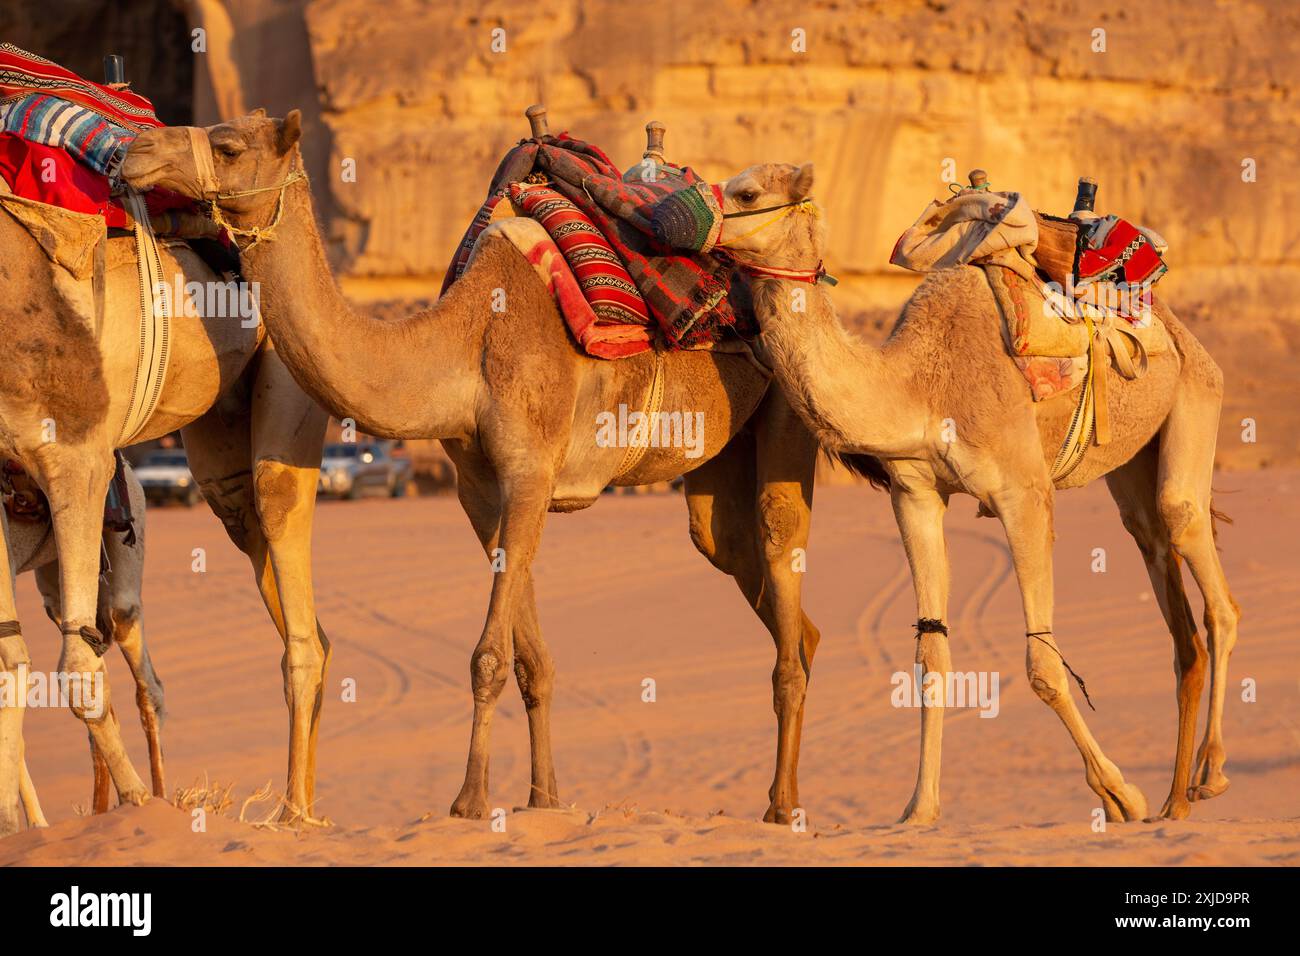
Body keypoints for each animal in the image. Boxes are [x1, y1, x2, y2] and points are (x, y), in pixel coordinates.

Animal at [119, 108, 883, 827]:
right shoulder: (485, 492)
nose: (136, 152)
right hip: (715, 472)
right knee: (762, 587)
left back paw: (782, 806)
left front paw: (468, 801)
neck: (465, 342)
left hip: (789, 402)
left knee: (782, 565)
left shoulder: (530, 471)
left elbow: (487, 657)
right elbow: (530, 660)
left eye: (227, 146)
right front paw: (544, 799)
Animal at [681, 162, 1237, 822]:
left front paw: (1120, 793)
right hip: (1130, 462)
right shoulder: (914, 493)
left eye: (745, 193)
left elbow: (1043, 664)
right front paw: (919, 809)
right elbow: (931, 657)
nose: (678, 209)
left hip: (1199, 393)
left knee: (1201, 561)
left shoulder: (1024, 494)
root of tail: (1178, 330)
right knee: (1162, 572)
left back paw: (1210, 775)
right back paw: (1175, 804)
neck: (917, 387)